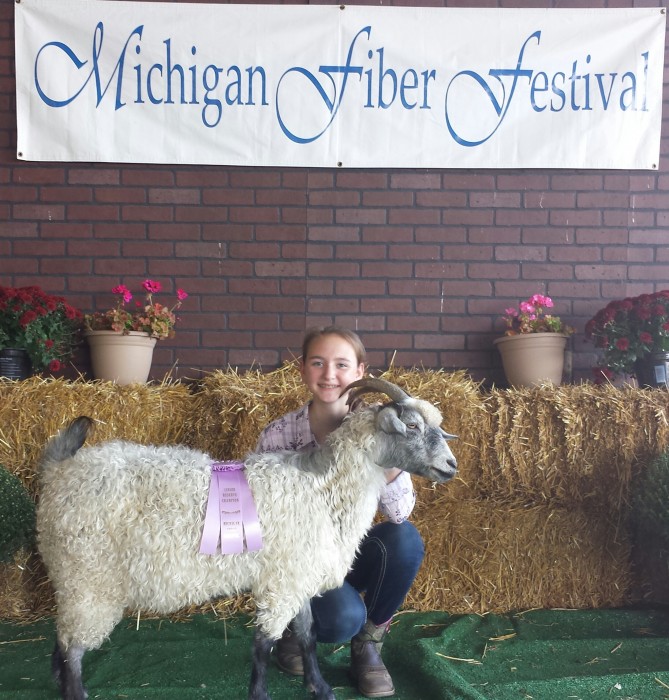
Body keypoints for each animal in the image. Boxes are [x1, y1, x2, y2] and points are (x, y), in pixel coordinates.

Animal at [35, 380, 454, 696]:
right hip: (89, 574)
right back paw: (74, 688)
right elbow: (263, 643)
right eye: (412, 426)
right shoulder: (281, 583)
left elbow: (307, 634)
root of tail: (59, 470)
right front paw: (261, 693)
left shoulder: (296, 574)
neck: (323, 488)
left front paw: (319, 687)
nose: (451, 465)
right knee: (73, 646)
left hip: (74, 578)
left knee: (63, 636)